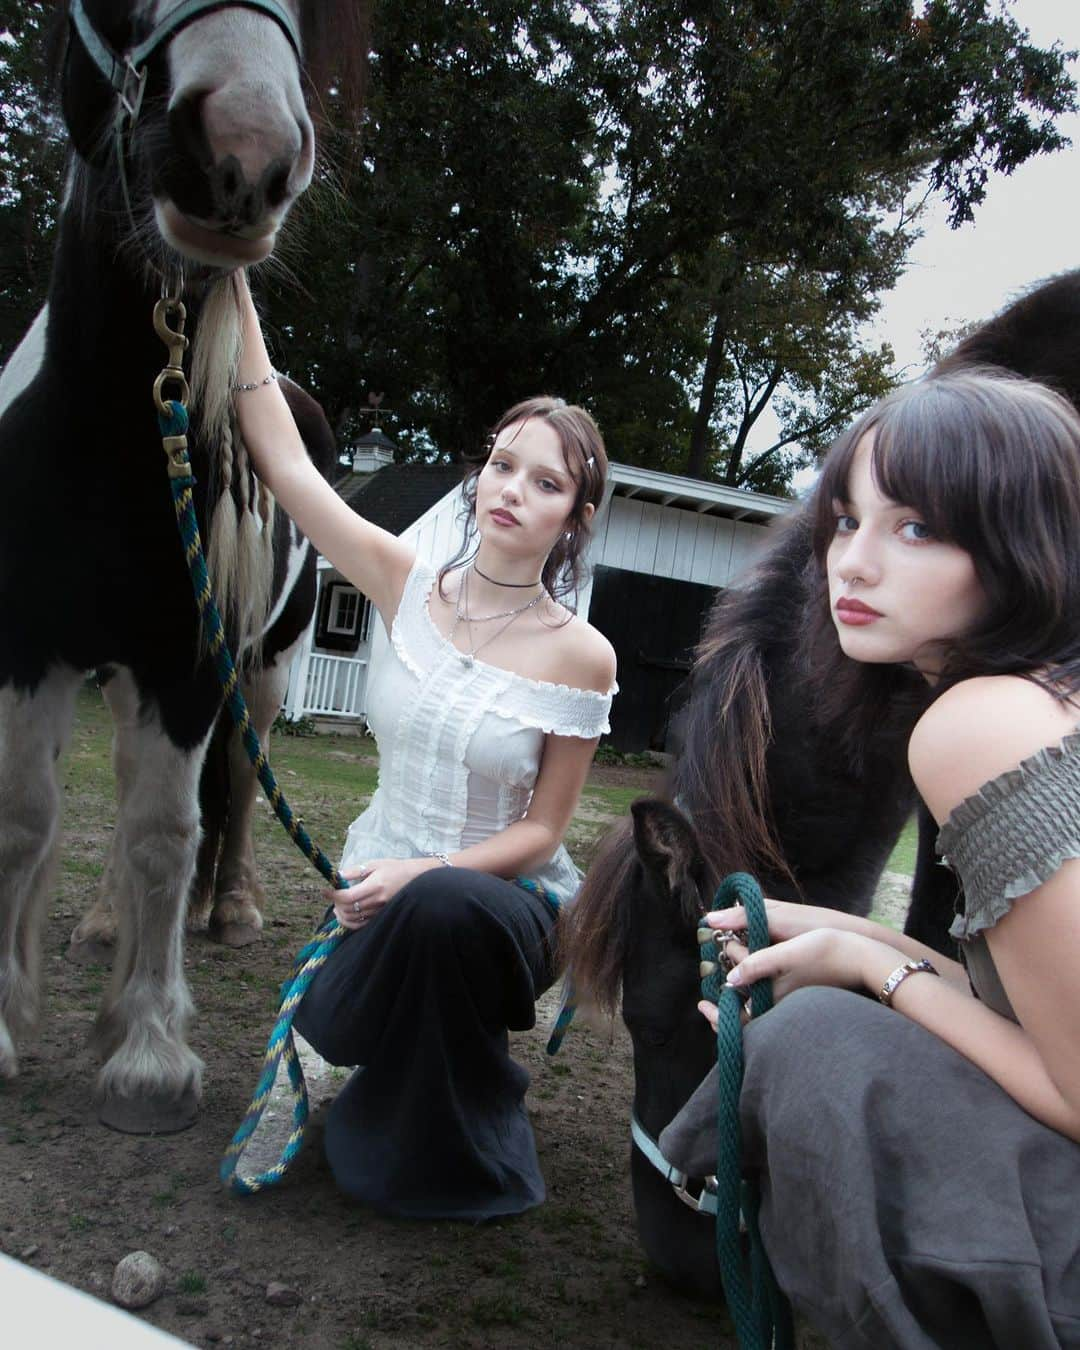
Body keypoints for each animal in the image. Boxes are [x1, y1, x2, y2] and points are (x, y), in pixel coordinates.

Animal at [0, 0, 367, 1134]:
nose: (243, 152)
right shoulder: (30, 649)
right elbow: (27, 820)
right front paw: (8, 1021)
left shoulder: (192, 662)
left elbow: (169, 827)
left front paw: (149, 1050)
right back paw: (107, 922)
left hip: (263, 665)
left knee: (237, 788)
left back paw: (229, 905)